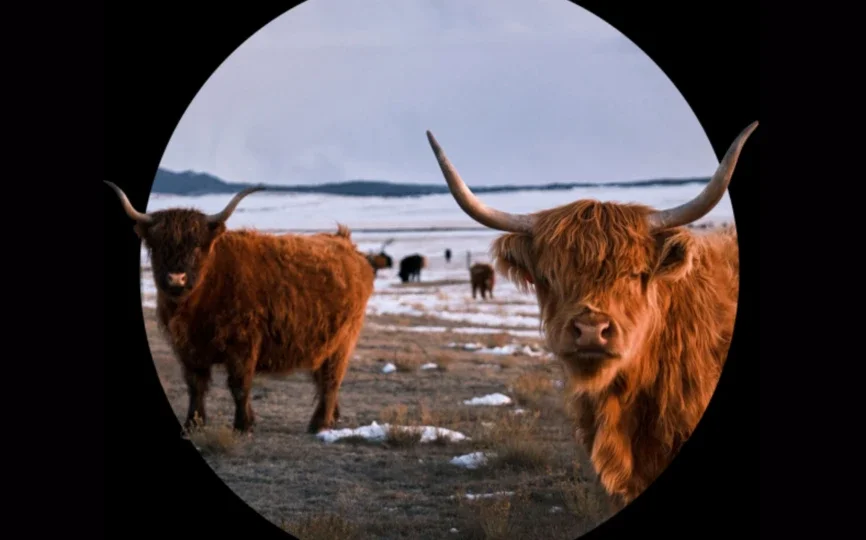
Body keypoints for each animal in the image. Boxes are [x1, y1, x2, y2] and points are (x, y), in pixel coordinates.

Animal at [104, 181, 375, 435]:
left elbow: (239, 385)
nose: (176, 278)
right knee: (323, 380)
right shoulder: (187, 348)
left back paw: (319, 425)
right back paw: (332, 418)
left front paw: (243, 425)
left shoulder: (243, 344)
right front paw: (193, 423)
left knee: (331, 380)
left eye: (196, 246)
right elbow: (195, 385)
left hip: (343, 341)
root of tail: (346, 243)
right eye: (158, 246)